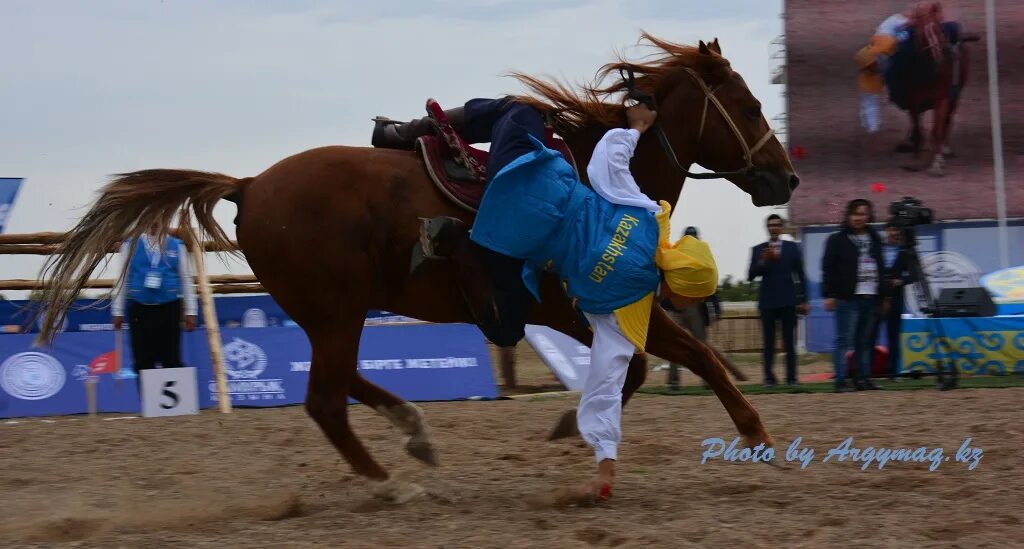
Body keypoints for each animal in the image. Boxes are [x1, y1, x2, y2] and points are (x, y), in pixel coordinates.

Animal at [32, 35, 798, 501]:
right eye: (750, 103)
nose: (786, 177)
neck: (592, 173)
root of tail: (249, 184)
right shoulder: (570, 306)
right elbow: (678, 355)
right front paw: (754, 434)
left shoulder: (588, 309)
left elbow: (672, 356)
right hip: (338, 309)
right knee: (325, 399)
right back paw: (388, 481)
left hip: (330, 312)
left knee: (342, 383)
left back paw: (414, 431)